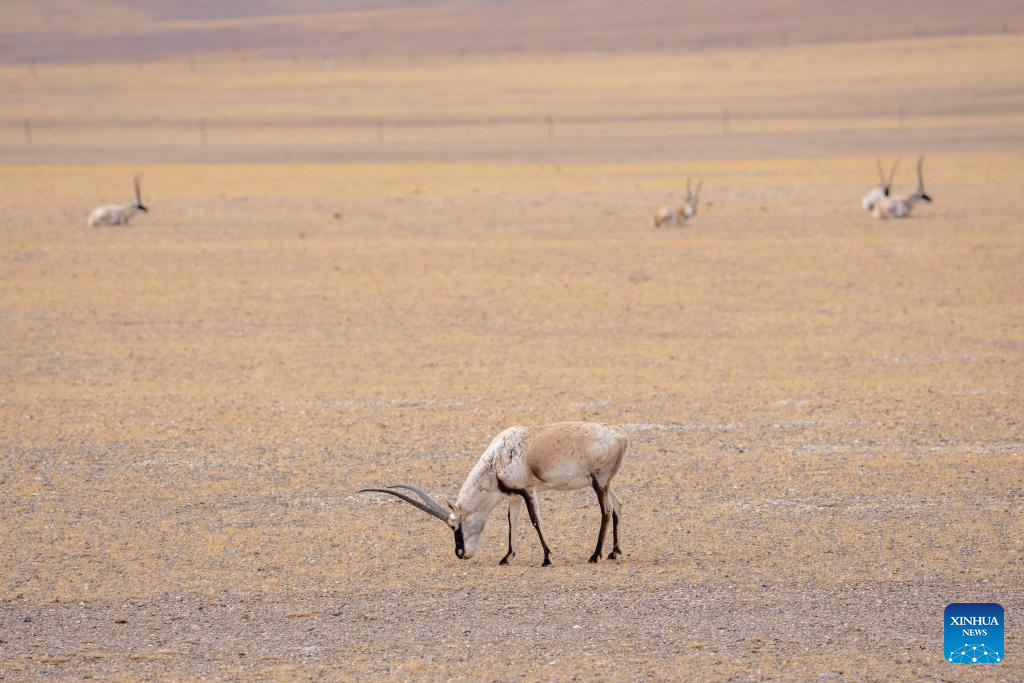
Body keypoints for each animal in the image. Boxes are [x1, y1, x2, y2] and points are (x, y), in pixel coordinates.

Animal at [360, 421, 628, 566]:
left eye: (455, 527)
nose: (460, 554)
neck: (496, 459)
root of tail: (620, 435)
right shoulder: (515, 496)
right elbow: (512, 521)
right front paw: (507, 557)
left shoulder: (529, 490)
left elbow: (534, 521)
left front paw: (546, 558)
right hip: (606, 483)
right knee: (618, 506)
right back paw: (614, 552)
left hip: (599, 482)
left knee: (606, 511)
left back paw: (595, 555)